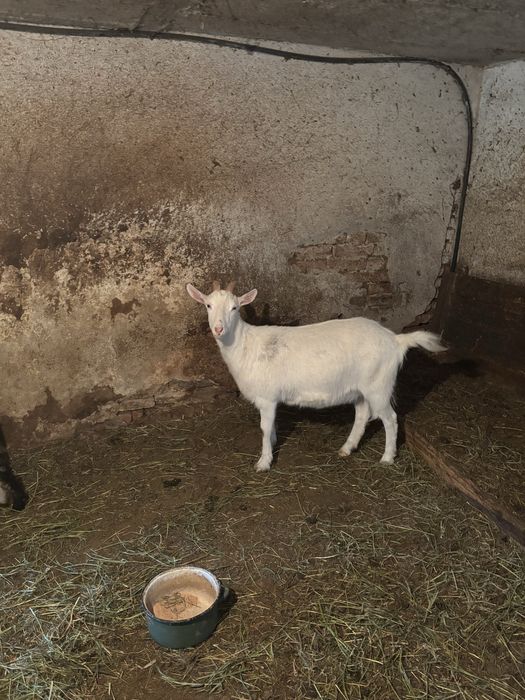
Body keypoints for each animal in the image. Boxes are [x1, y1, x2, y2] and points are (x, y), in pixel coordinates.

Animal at [187, 281, 445, 472]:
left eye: (235, 308)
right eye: (208, 305)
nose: (218, 329)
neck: (246, 345)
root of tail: (395, 340)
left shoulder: (267, 398)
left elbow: (264, 427)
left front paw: (264, 462)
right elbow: (271, 426)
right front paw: (273, 444)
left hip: (379, 386)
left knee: (390, 419)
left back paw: (387, 458)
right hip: (361, 388)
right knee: (362, 414)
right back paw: (347, 448)